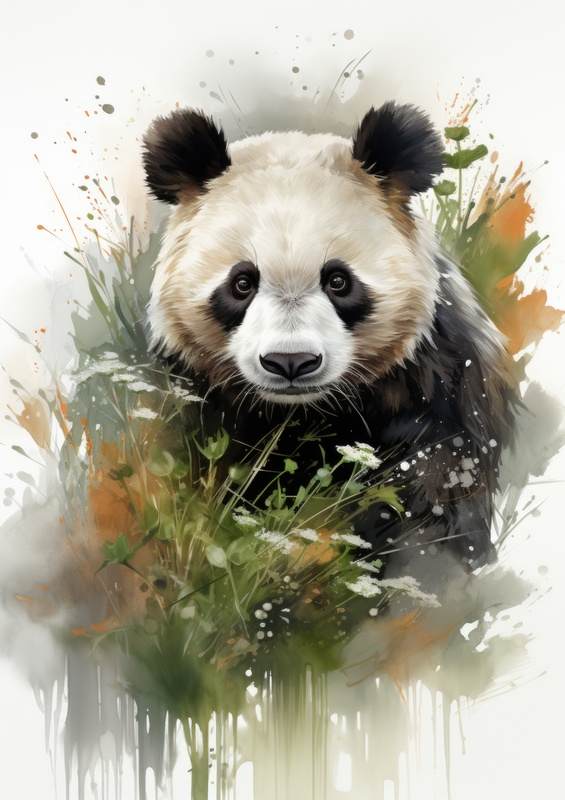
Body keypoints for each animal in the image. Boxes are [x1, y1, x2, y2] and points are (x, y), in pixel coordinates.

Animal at [142, 101, 516, 577]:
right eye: (242, 283)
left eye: (338, 281)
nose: (291, 362)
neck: (305, 414)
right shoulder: (196, 399)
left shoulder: (437, 383)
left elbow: (437, 488)